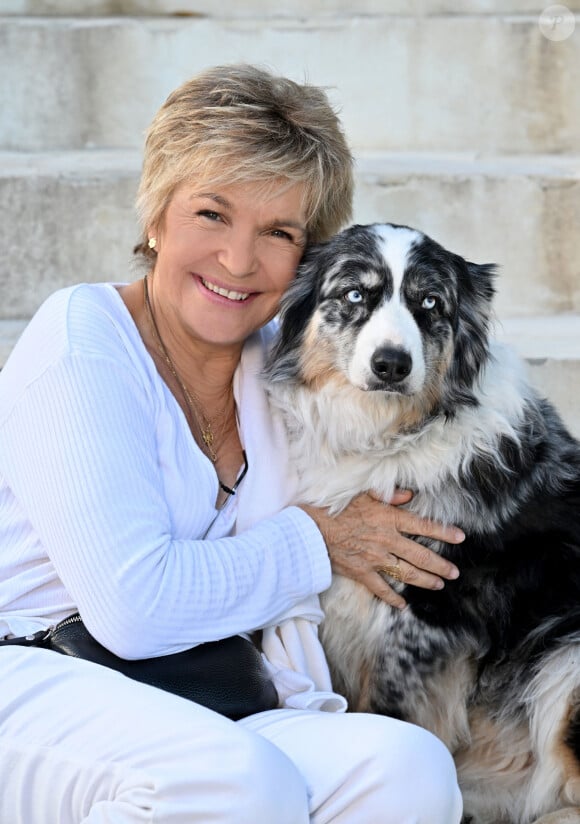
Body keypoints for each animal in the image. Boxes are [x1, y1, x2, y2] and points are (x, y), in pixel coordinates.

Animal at [266, 222, 580, 820]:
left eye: (430, 303)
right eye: (355, 294)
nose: (391, 364)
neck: (389, 438)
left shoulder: (423, 622)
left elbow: (395, 720)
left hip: (563, 655)